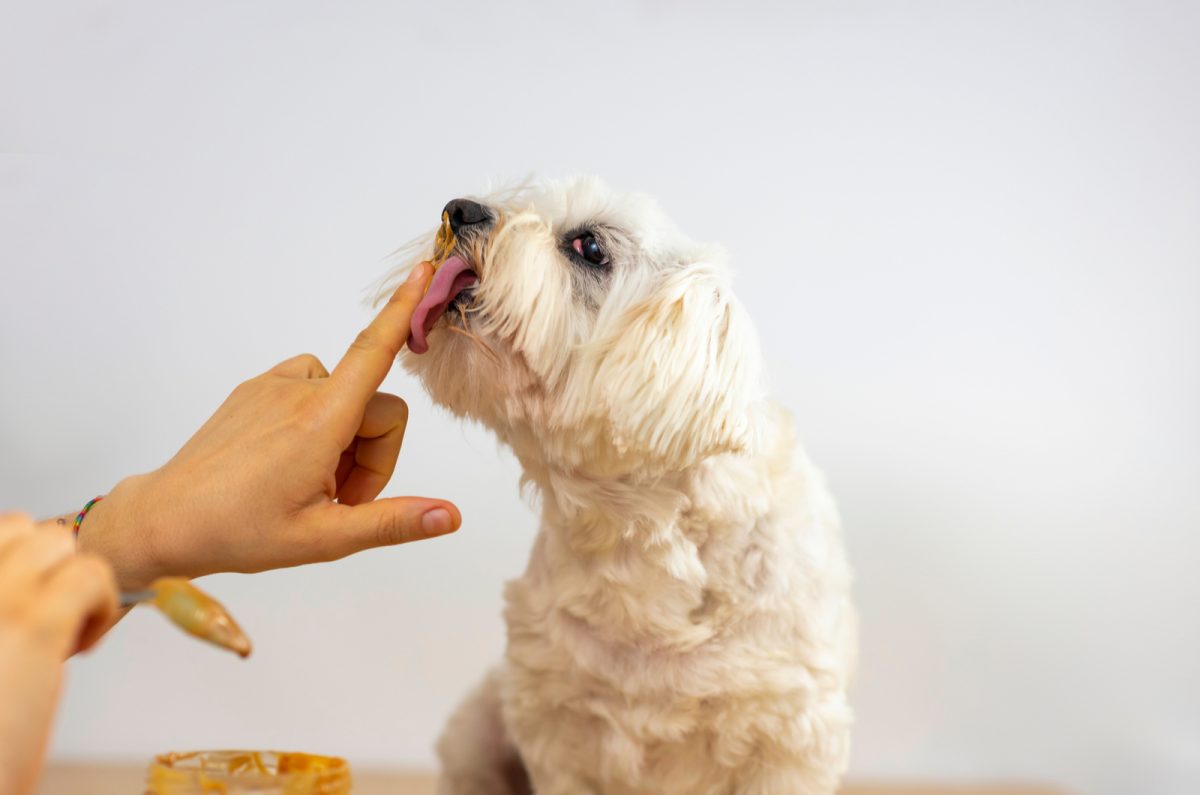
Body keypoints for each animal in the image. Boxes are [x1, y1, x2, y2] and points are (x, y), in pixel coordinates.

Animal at [388, 177, 859, 792]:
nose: (459, 209)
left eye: (589, 247)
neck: (634, 534)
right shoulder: (557, 725)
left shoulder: (788, 734)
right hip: (479, 729)